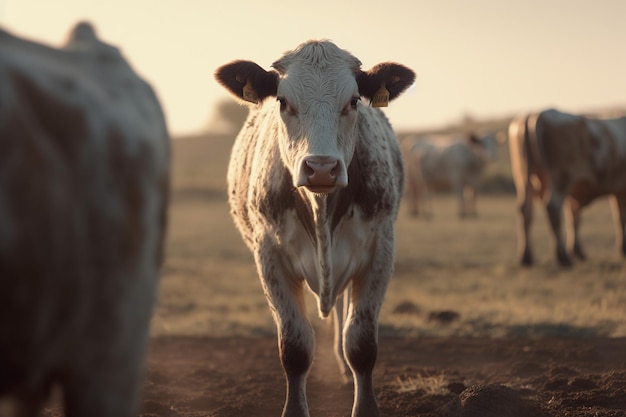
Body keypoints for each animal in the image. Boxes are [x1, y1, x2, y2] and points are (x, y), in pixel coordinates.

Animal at [214, 39, 414, 416]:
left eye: (353, 101)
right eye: (282, 101)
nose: (321, 168)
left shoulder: (380, 250)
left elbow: (361, 343)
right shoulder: (269, 255)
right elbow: (295, 347)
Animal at [508, 108, 624, 266]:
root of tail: (534, 115)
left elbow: (574, 218)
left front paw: (577, 250)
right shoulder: (620, 190)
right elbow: (620, 218)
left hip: (524, 179)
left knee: (525, 211)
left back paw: (526, 256)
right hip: (560, 181)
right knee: (553, 209)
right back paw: (562, 256)